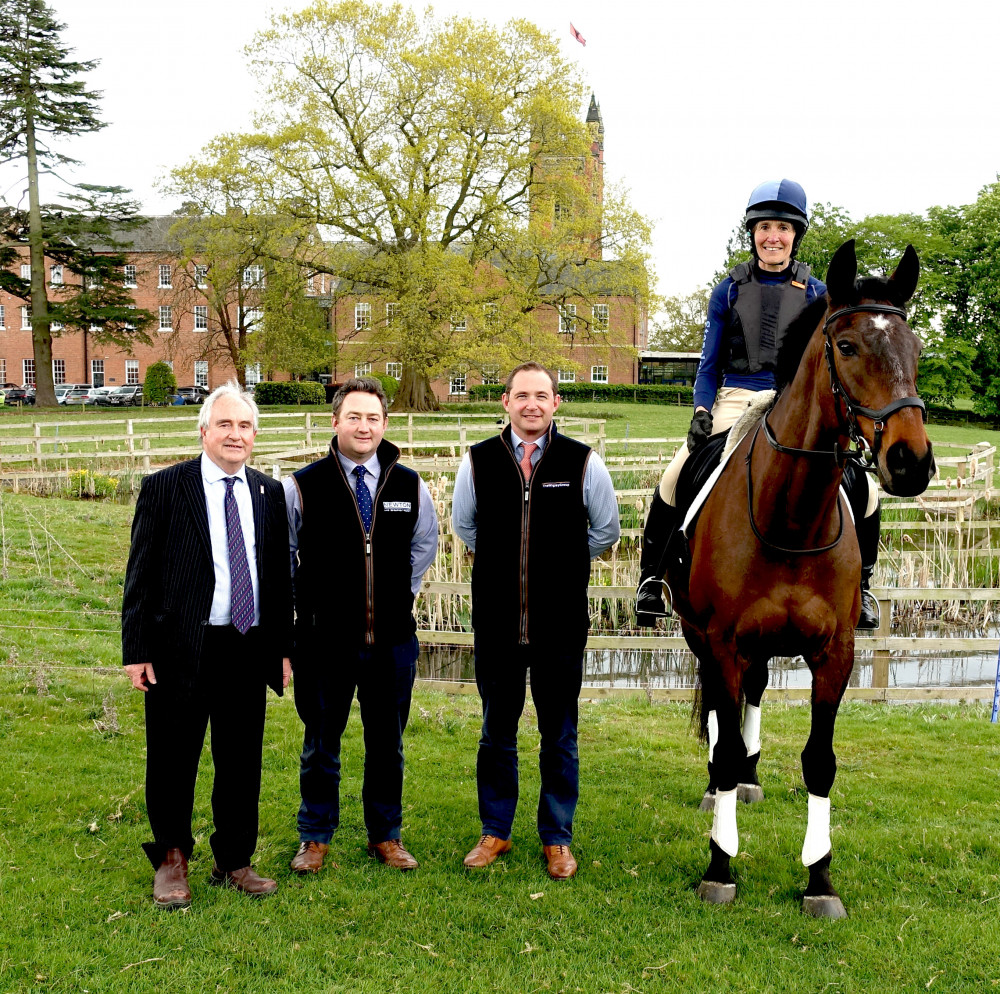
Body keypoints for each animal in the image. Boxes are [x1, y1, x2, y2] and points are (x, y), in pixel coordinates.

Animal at [664, 238, 936, 916]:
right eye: (849, 346)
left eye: (916, 348)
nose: (911, 461)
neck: (790, 514)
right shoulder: (723, 643)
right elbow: (724, 745)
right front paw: (721, 864)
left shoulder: (834, 653)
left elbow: (820, 761)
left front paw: (820, 877)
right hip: (701, 639)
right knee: (723, 722)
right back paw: (722, 790)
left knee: (754, 698)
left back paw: (751, 781)